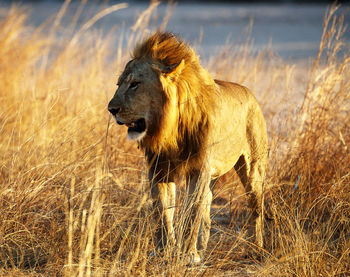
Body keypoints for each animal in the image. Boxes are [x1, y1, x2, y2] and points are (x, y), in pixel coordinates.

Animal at [108, 31, 266, 262]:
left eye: (135, 83)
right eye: (118, 84)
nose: (111, 109)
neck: (169, 128)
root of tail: (250, 93)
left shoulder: (199, 168)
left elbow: (192, 211)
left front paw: (188, 255)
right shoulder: (159, 169)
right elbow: (163, 211)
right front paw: (164, 250)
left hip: (253, 169)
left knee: (256, 208)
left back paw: (257, 249)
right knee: (208, 202)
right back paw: (202, 247)